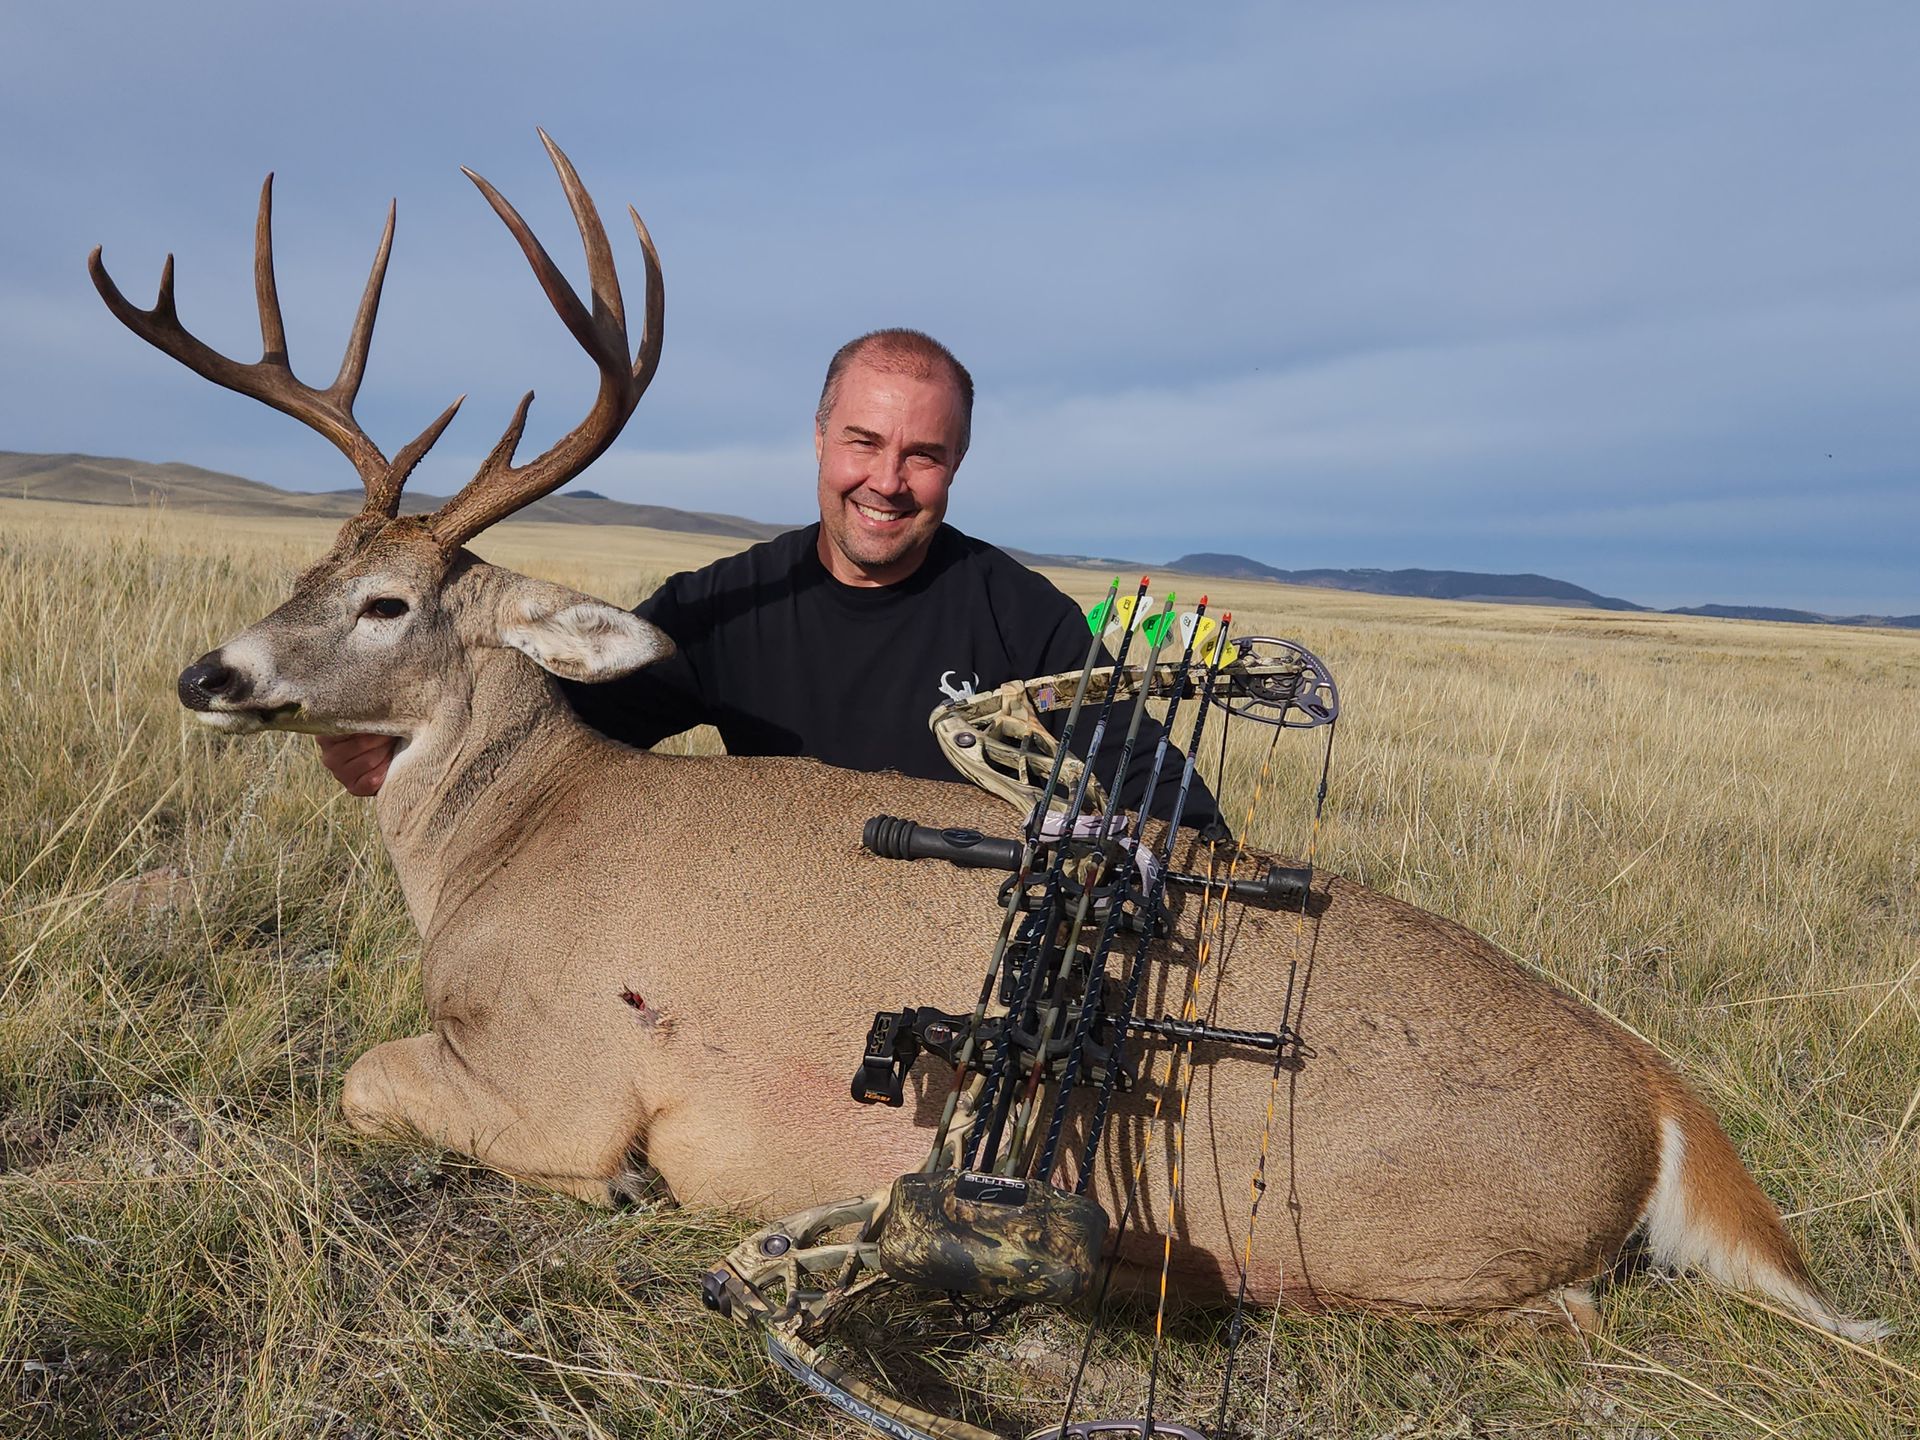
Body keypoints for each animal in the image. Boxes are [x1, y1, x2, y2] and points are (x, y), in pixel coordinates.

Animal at [90, 134, 1880, 1346]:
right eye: (303, 566)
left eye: (388, 601)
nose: (207, 674)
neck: (508, 845)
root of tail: (1656, 1085)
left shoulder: (563, 1073)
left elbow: (368, 1078)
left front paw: (619, 1195)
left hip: (1383, 1222)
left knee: (1554, 1310)